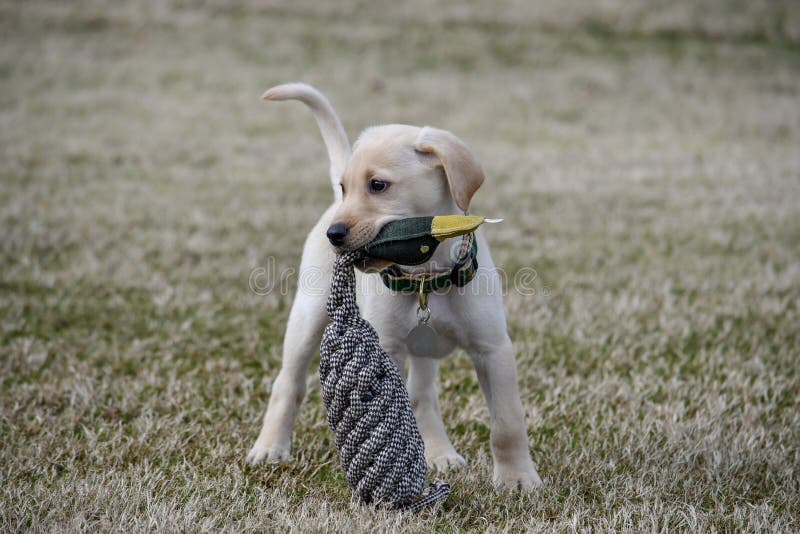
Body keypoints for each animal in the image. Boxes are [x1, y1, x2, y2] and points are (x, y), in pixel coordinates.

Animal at [247, 84, 540, 494]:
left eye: (378, 185)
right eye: (346, 187)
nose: (334, 235)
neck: (427, 277)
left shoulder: (493, 349)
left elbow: (507, 423)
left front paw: (517, 478)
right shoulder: (387, 349)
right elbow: (392, 417)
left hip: (424, 348)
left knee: (422, 398)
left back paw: (440, 453)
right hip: (307, 315)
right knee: (288, 384)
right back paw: (270, 447)